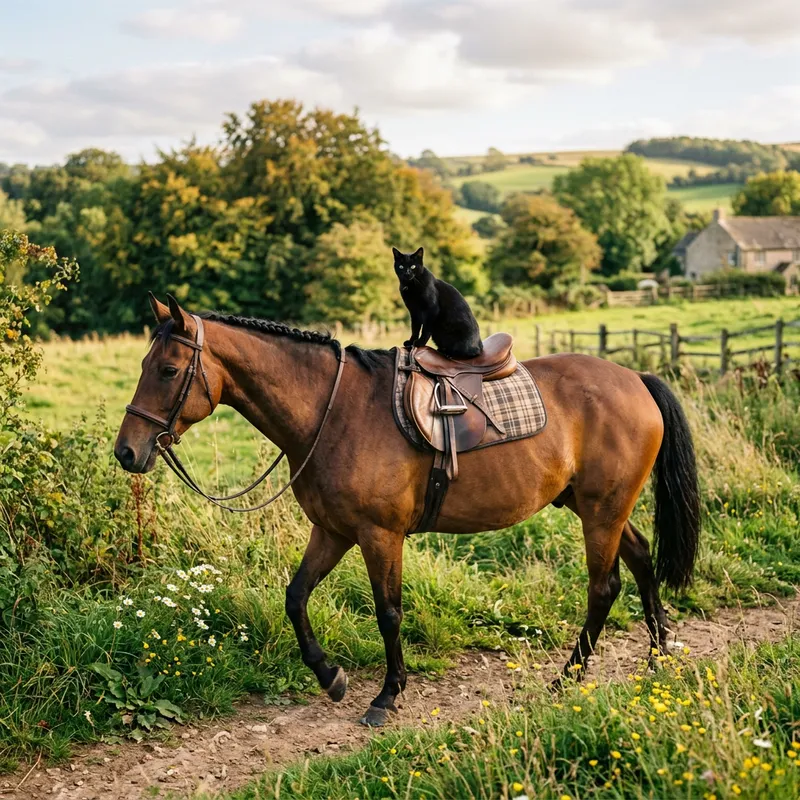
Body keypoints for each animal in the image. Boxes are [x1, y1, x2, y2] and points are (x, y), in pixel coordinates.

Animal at [114, 294, 700, 727]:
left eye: (168, 370)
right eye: (145, 364)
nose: (126, 451)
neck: (332, 410)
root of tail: (635, 379)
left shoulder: (379, 535)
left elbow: (388, 613)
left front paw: (387, 695)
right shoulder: (332, 531)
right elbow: (296, 597)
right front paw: (329, 676)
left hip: (602, 511)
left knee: (604, 587)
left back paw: (570, 675)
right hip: (595, 506)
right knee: (641, 559)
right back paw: (658, 653)